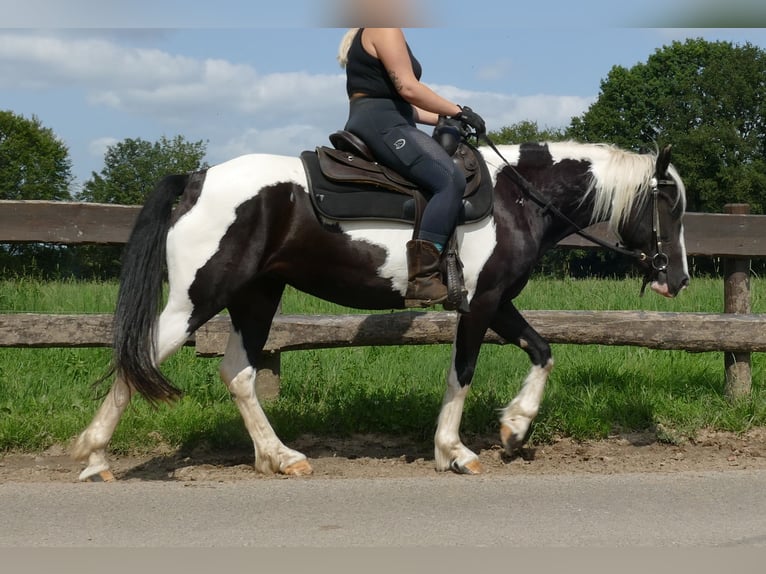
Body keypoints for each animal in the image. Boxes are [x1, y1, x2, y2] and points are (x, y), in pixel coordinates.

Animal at [70, 136, 688, 482]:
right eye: (670, 203)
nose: (677, 278)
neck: (515, 199)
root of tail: (198, 178)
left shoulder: (498, 301)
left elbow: (543, 350)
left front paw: (515, 428)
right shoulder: (482, 303)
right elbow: (463, 373)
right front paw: (454, 452)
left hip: (257, 296)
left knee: (238, 373)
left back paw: (281, 457)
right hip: (197, 298)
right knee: (140, 356)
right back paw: (95, 457)